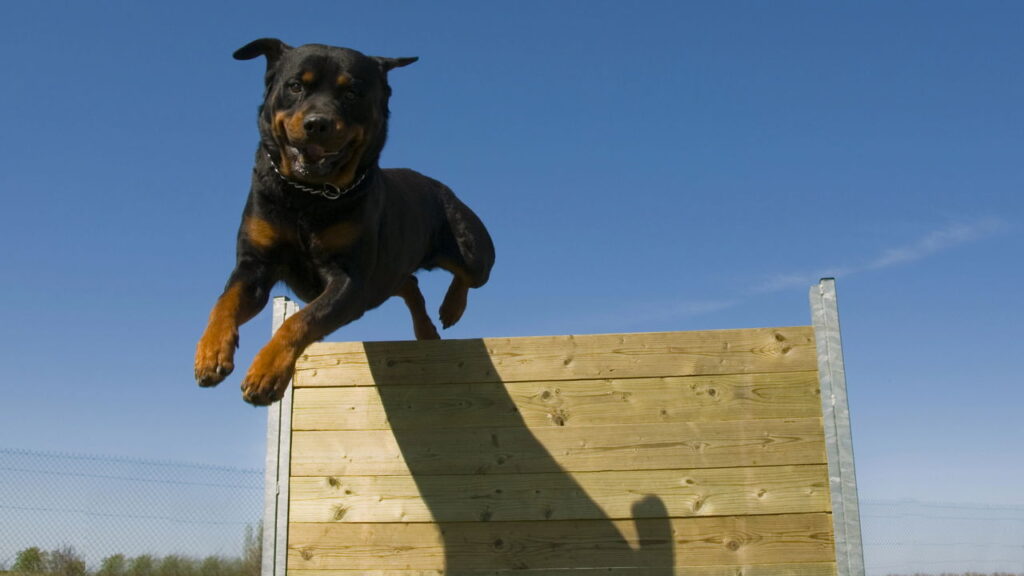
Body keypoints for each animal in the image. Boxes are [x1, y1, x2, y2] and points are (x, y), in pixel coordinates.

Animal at [194, 39, 495, 403]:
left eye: (352, 92)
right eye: (295, 86)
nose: (317, 122)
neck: (307, 196)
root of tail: (438, 185)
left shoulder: (349, 280)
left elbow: (300, 321)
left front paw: (266, 372)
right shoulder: (255, 265)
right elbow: (224, 303)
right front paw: (210, 354)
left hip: (470, 246)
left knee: (469, 275)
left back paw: (452, 308)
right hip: (386, 275)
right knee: (409, 283)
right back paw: (426, 330)